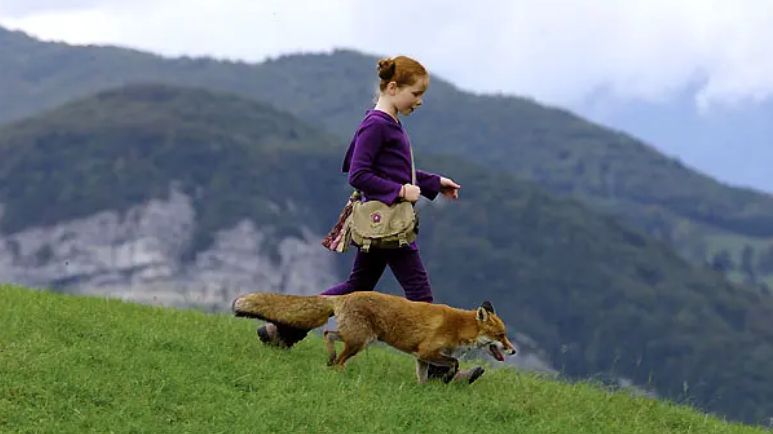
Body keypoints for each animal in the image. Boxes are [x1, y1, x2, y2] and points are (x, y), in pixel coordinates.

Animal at [232, 292, 516, 384]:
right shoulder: (427, 351)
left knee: (328, 334)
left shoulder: (421, 358)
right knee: (338, 356)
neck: (458, 327)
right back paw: (339, 373)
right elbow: (454, 363)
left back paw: (330, 357)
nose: (513, 351)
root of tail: (344, 295)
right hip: (359, 342)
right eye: (501, 335)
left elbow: (423, 378)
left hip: (358, 338)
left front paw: (424, 392)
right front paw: (447, 377)